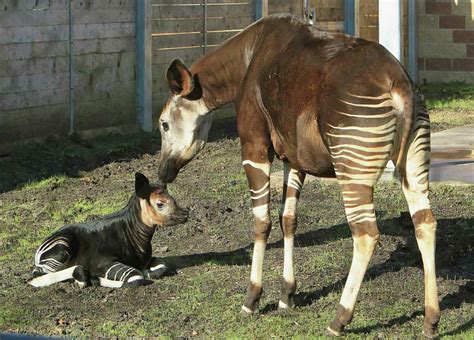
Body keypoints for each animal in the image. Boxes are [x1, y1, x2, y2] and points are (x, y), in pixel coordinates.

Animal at [27, 173, 187, 286]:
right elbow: (135, 275)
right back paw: (81, 278)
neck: (134, 235)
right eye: (160, 204)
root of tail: (39, 249)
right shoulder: (102, 262)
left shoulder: (148, 260)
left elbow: (160, 266)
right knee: (36, 275)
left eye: (173, 199)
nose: (186, 213)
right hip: (62, 247)